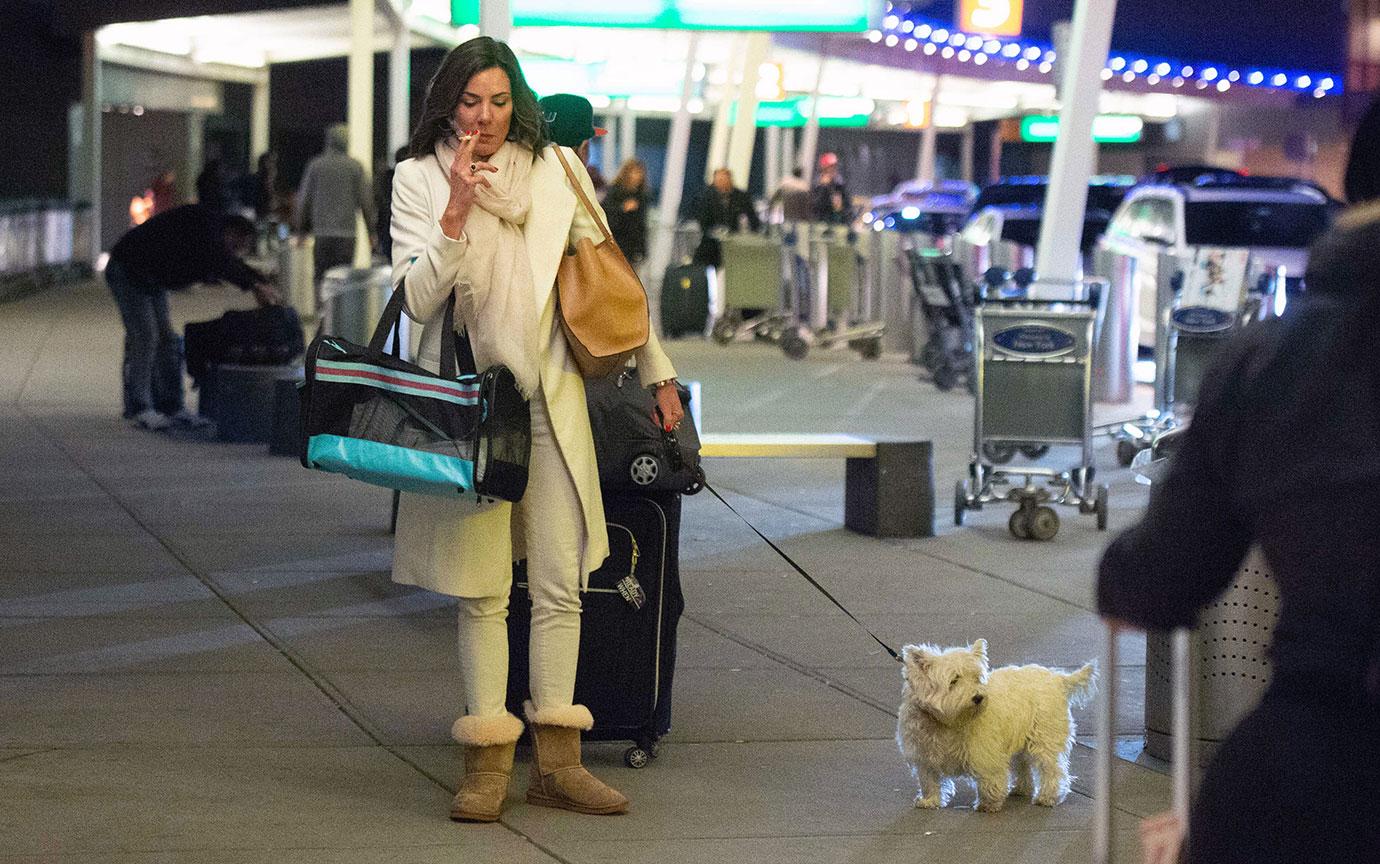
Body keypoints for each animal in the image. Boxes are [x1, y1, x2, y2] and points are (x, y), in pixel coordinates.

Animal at [894, 634, 1098, 811]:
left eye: (977, 678)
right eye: (954, 680)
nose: (978, 697)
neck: (947, 723)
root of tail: (1058, 678)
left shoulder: (984, 751)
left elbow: (989, 777)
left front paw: (988, 804)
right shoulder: (924, 754)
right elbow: (929, 780)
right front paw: (929, 800)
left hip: (1044, 737)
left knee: (1051, 768)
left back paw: (1047, 797)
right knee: (1023, 764)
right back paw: (1021, 789)